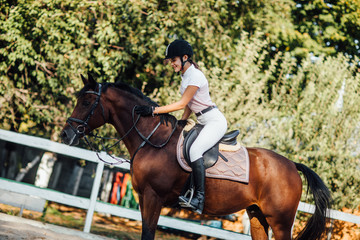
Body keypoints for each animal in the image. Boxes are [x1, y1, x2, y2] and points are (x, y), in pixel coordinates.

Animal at [59, 74, 332, 239]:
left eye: (86, 102)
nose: (66, 134)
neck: (153, 141)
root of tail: (292, 165)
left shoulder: (153, 197)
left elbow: (149, 233)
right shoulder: (143, 198)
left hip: (281, 221)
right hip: (257, 216)